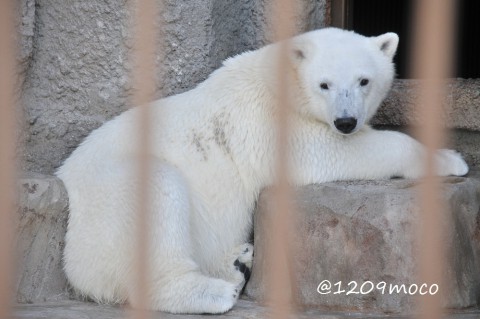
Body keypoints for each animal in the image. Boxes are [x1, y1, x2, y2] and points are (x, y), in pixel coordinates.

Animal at [56, 28, 468, 316]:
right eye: (324, 84)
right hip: (110, 198)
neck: (279, 78)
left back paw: (239, 260)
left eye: (364, 80)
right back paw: (217, 292)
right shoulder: (272, 124)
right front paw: (452, 158)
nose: (346, 121)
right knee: (158, 197)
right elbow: (326, 152)